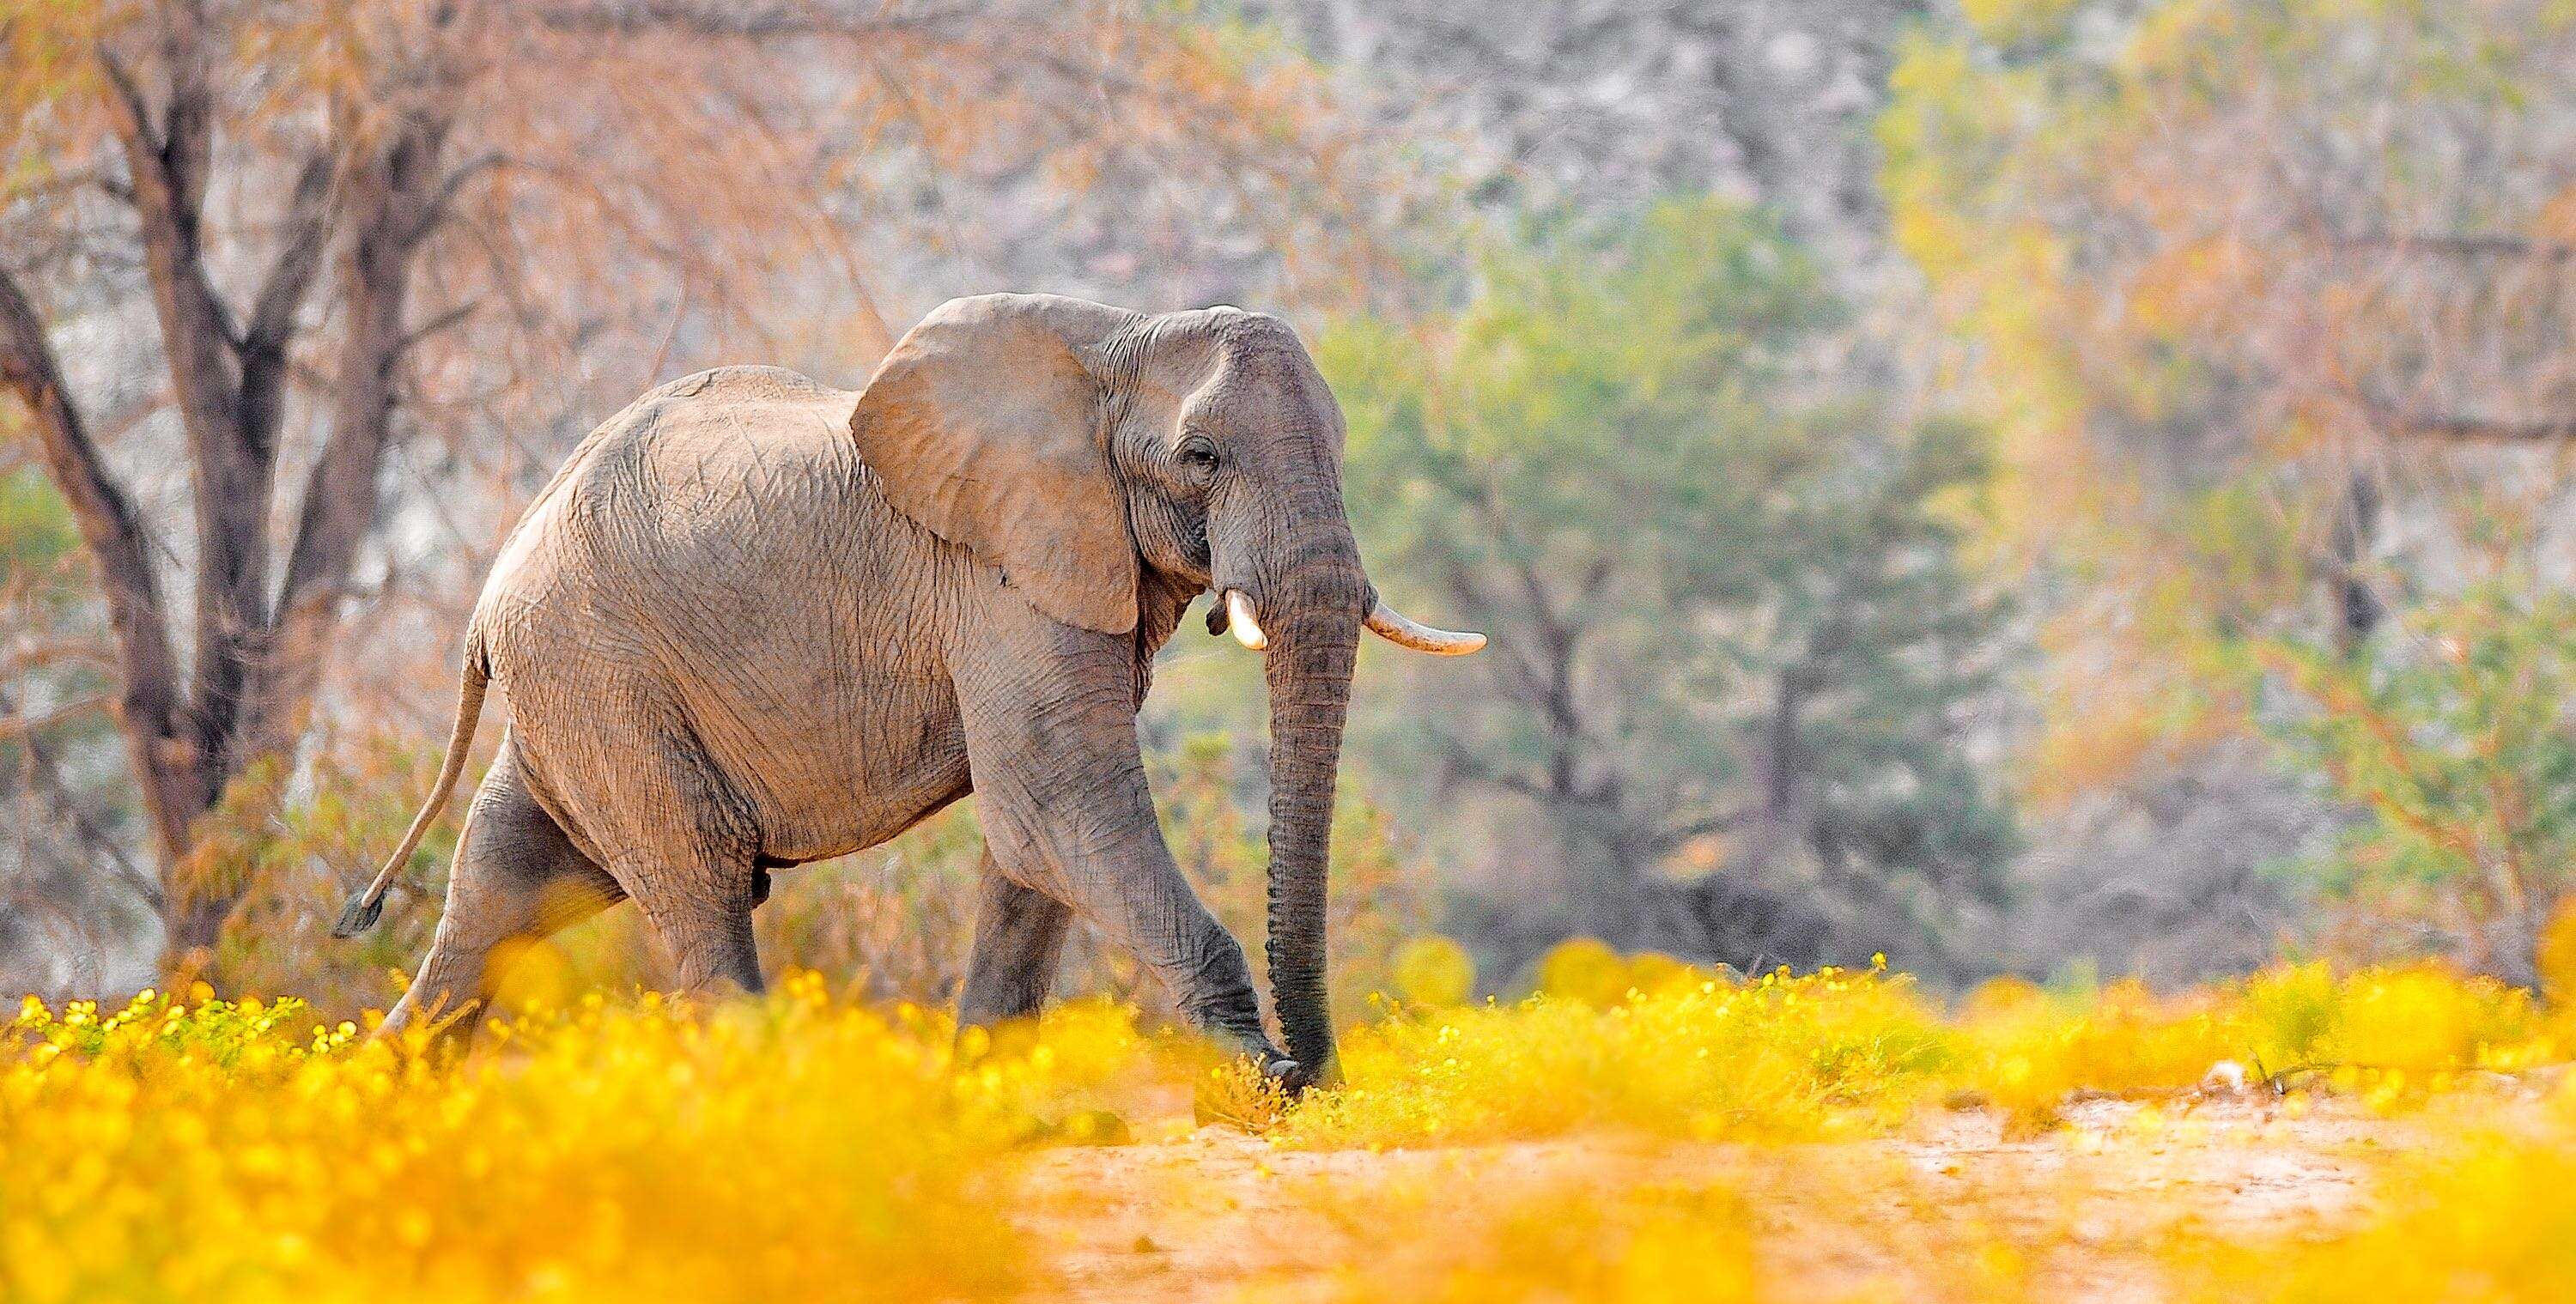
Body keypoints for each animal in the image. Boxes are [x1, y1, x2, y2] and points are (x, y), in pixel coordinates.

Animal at [332, 292, 1484, 1082]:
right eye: (1201, 456)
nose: (1321, 1067)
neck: (1120, 339)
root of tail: (491, 589)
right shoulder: (999, 575)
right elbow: (1056, 804)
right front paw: (1264, 1082)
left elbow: (1033, 839)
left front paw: (984, 1099)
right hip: (599, 670)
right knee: (697, 882)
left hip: (573, 688)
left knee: (504, 889)